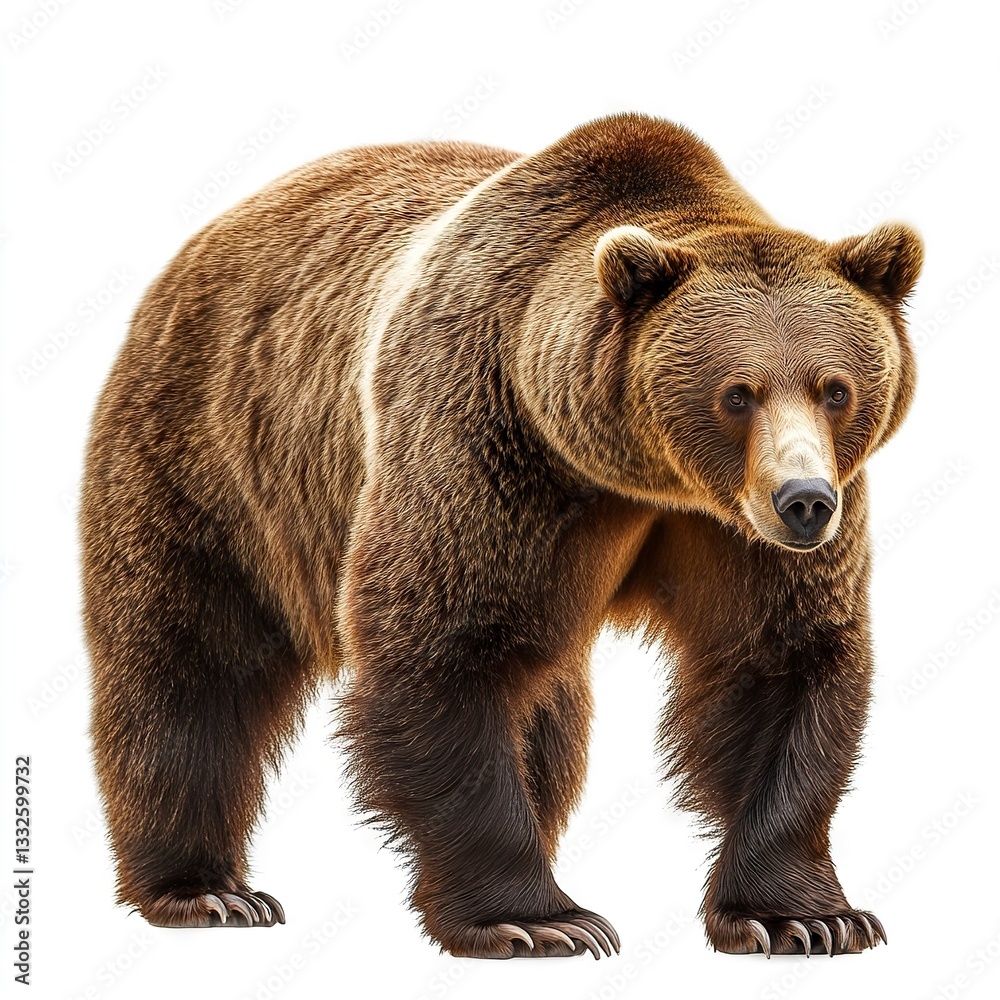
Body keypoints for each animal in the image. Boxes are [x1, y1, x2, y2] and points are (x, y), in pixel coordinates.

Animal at [81, 112, 921, 960]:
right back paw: (206, 890)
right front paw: (536, 918)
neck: (637, 474)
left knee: (551, 708)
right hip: (215, 457)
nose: (804, 501)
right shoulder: (486, 443)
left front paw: (804, 916)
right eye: (738, 394)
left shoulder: (737, 530)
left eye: (836, 388)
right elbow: (445, 649)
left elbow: (779, 663)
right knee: (191, 659)